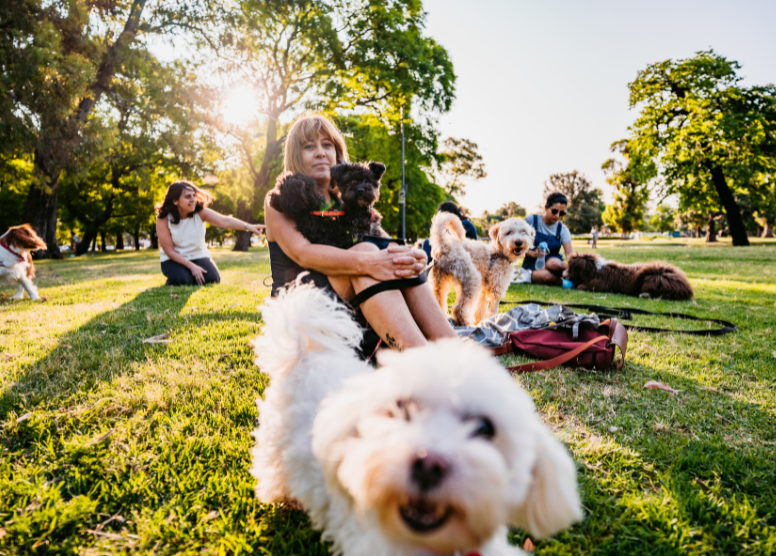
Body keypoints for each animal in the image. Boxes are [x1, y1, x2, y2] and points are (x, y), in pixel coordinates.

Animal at [564, 253, 692, 302]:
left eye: (571, 268)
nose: (563, 274)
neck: (595, 270)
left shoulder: (597, 285)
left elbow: (580, 286)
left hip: (655, 276)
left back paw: (644, 294)